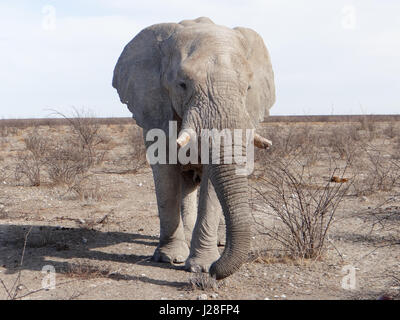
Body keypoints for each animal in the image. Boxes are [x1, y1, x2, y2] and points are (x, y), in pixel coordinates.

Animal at [112, 16, 276, 278]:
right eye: (182, 84)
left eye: (248, 88)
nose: (215, 271)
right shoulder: (155, 105)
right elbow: (165, 171)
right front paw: (169, 258)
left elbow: (212, 181)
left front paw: (202, 265)